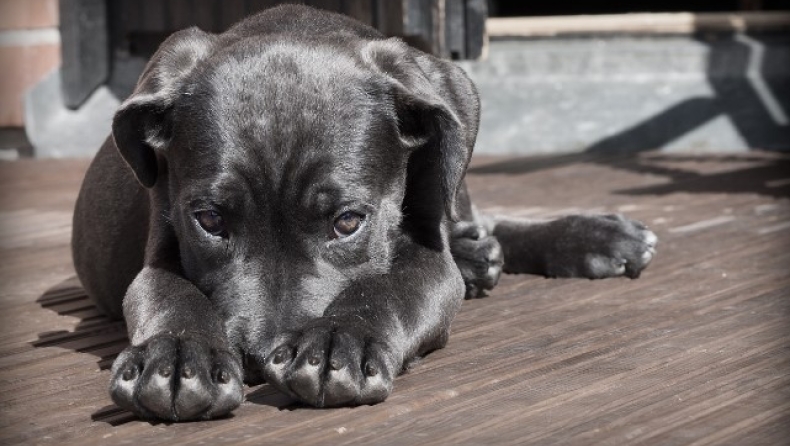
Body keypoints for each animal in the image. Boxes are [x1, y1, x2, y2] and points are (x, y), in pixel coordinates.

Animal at [72, 4, 656, 422]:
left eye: (348, 222)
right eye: (210, 221)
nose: (260, 358)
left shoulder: (427, 257)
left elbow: (389, 287)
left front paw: (339, 341)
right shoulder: (161, 246)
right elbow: (169, 293)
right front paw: (176, 356)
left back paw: (591, 237)